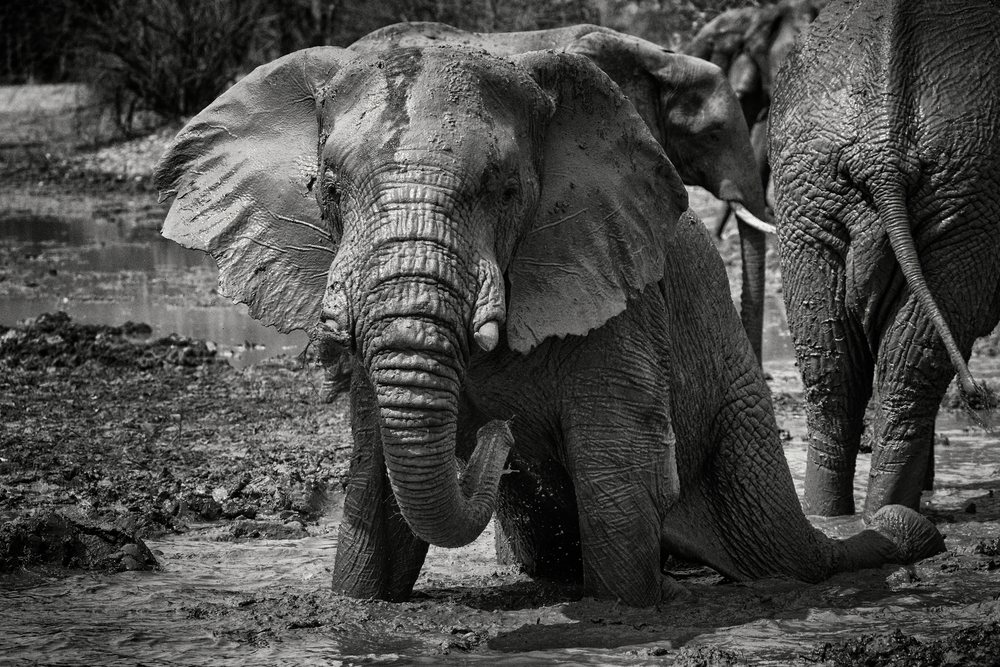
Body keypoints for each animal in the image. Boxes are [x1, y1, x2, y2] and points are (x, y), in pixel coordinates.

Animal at [769, 0, 1000, 518]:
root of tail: (883, 151)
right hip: (969, 194)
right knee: (907, 364)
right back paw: (890, 513)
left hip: (809, 187)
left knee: (838, 362)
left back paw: (837, 516)